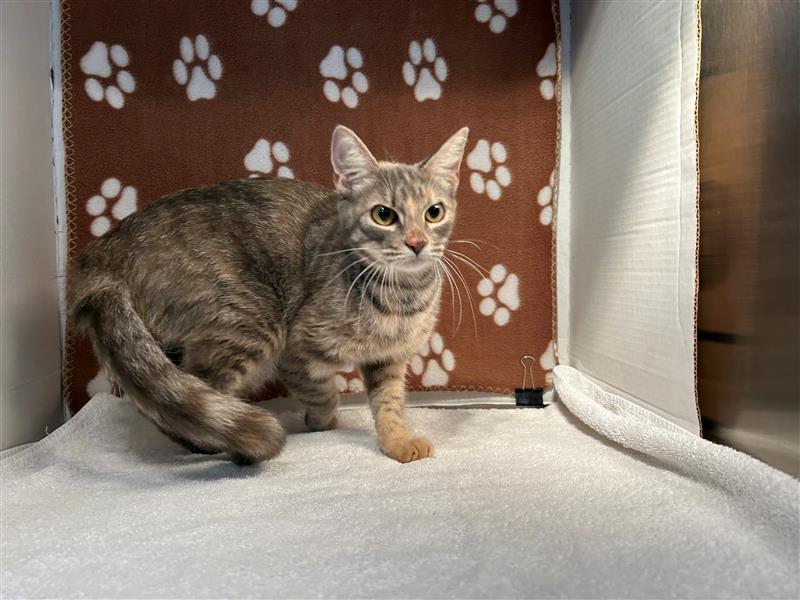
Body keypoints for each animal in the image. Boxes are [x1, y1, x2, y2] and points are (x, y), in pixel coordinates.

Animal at [69, 125, 469, 465]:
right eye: (384, 214)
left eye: (434, 212)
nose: (416, 243)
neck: (402, 298)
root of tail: (102, 252)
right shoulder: (296, 350)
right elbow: (323, 392)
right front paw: (322, 422)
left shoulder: (389, 360)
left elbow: (389, 403)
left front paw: (397, 440)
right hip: (248, 320)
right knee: (192, 395)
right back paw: (227, 446)